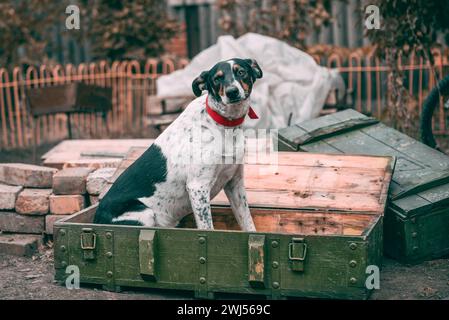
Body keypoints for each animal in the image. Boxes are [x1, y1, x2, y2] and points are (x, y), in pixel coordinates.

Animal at [94, 58, 262, 230]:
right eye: (217, 79)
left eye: (241, 72)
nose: (231, 91)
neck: (225, 125)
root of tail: (96, 219)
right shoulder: (198, 187)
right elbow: (208, 227)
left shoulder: (235, 182)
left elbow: (248, 222)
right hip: (145, 213)